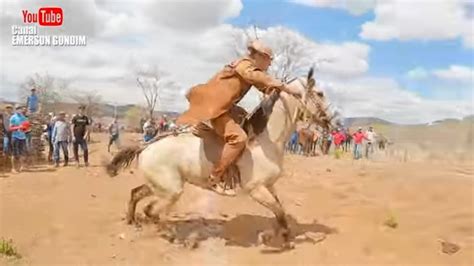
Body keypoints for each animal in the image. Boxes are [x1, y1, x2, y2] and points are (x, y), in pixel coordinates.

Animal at [105, 69, 332, 249]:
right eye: (320, 93)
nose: (330, 121)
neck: (265, 141)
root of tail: (147, 145)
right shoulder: (257, 189)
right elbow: (279, 212)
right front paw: (271, 238)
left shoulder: (270, 186)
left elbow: (280, 213)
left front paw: (279, 236)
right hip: (171, 190)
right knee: (152, 210)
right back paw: (176, 237)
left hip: (159, 186)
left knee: (137, 195)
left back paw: (133, 221)